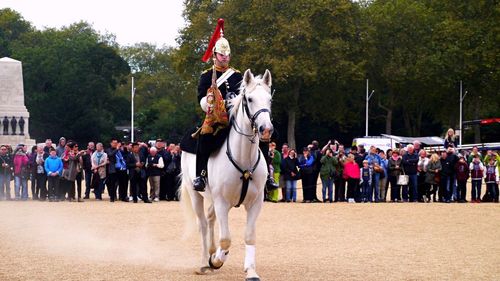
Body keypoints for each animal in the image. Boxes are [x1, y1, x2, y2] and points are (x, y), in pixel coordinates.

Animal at [180, 68, 274, 280]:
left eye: (269, 99)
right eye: (249, 99)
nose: (265, 130)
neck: (243, 157)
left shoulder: (255, 203)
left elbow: (249, 236)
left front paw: (251, 271)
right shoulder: (222, 202)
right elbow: (226, 239)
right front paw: (216, 260)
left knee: (209, 218)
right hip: (196, 194)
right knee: (202, 224)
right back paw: (204, 262)